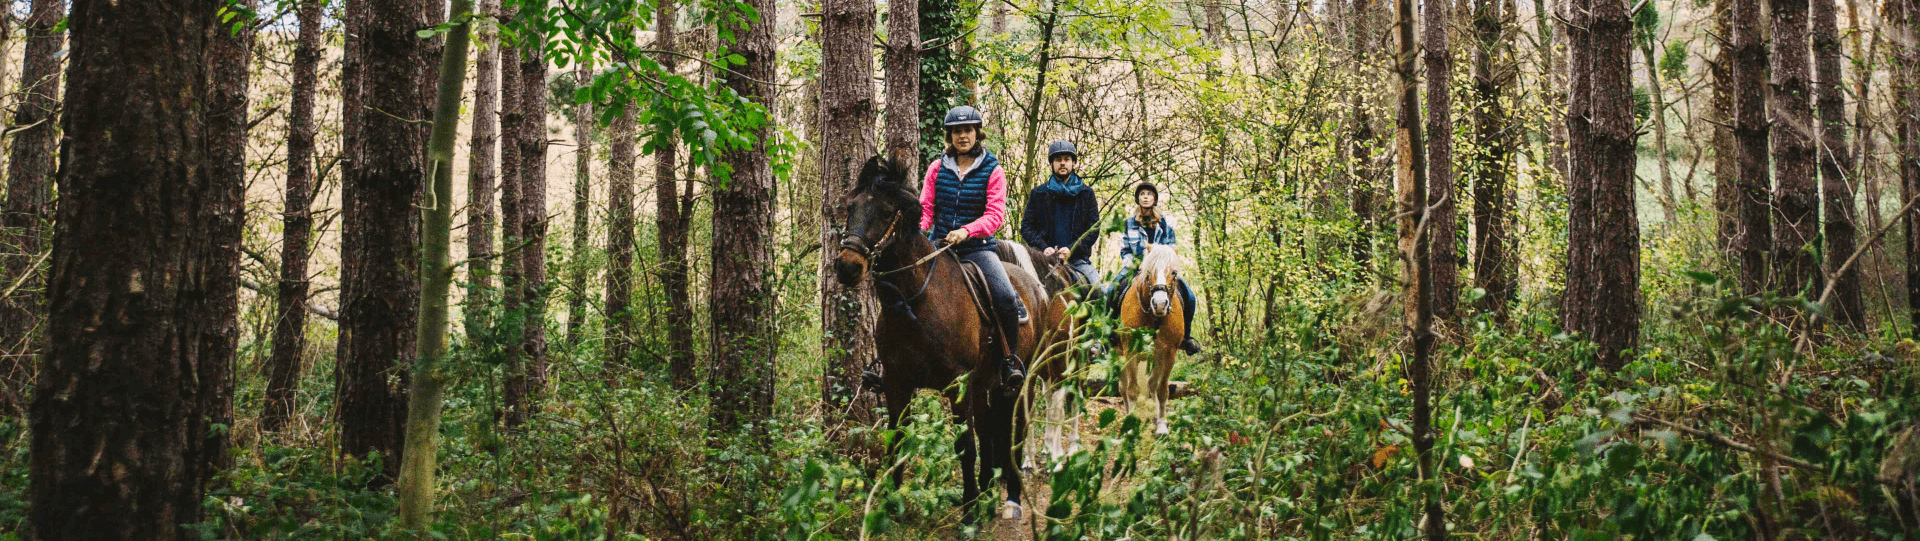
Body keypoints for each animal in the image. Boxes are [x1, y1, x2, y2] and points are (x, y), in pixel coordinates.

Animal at [833, 155, 1059, 525]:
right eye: (851, 207)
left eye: (885, 212)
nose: (848, 267)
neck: (914, 302)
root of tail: (1036, 287)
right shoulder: (896, 383)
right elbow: (897, 439)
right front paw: (890, 503)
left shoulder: (957, 385)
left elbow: (965, 446)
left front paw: (968, 514)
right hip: (984, 384)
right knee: (988, 429)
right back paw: (986, 490)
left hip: (1018, 385)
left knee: (1014, 432)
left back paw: (1010, 499)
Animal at [1113, 245, 1182, 435]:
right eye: (1149, 271)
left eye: (1174, 272)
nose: (1160, 304)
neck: (1154, 317)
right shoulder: (1130, 352)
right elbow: (1132, 390)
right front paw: (1131, 426)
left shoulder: (1169, 353)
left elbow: (1162, 390)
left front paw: (1162, 425)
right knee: (1123, 387)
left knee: (1152, 384)